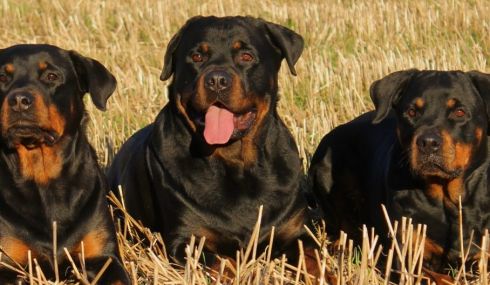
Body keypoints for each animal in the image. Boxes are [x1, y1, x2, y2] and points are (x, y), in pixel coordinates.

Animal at [0, 43, 129, 282]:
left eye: (51, 76)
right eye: (2, 77)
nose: (19, 100)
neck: (43, 176)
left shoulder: (104, 258)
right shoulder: (7, 264)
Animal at [108, 15, 322, 270]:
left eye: (246, 56)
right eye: (197, 57)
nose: (217, 80)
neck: (236, 162)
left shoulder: (297, 231)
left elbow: (314, 259)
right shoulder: (187, 240)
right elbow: (222, 264)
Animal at [310, 69, 490, 280]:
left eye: (459, 112)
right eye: (411, 112)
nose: (428, 142)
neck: (446, 198)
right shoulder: (407, 255)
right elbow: (437, 278)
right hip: (325, 169)